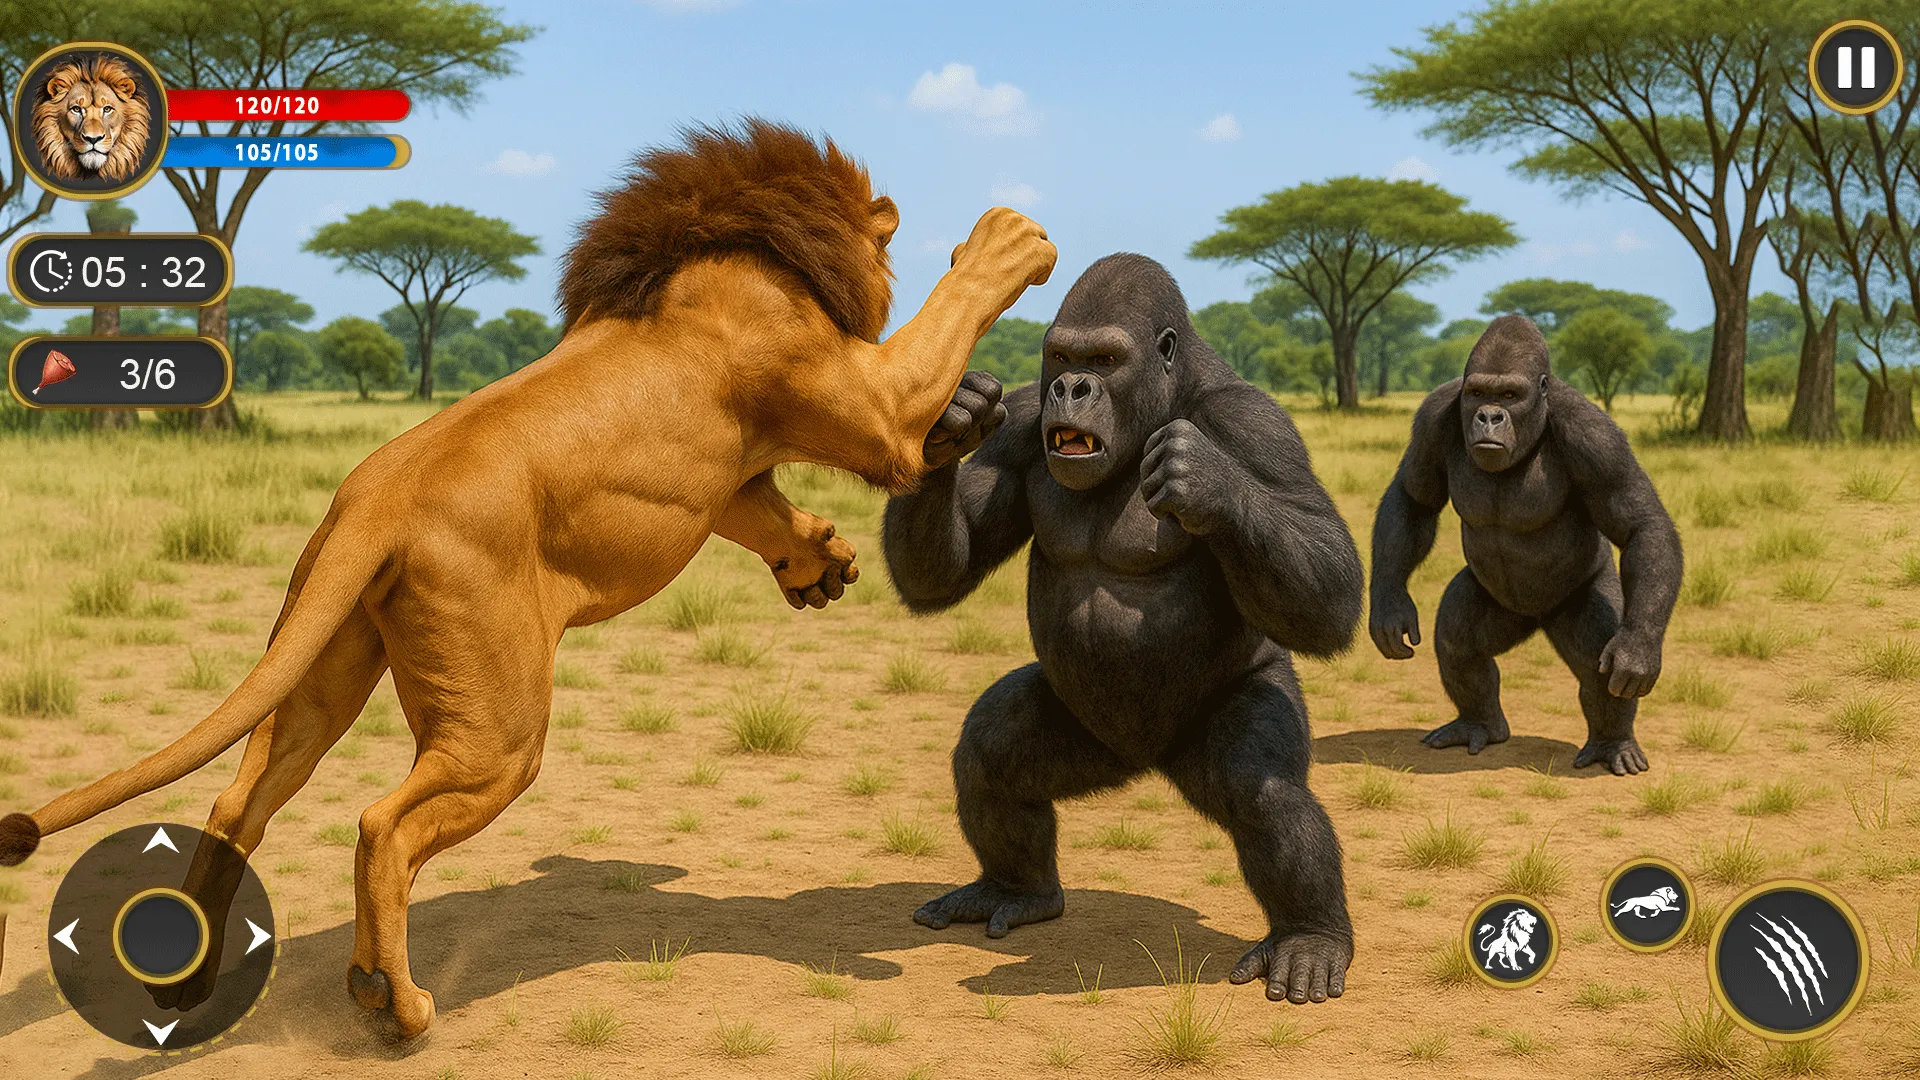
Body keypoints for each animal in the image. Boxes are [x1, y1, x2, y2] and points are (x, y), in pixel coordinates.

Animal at [0, 119, 1055, 1038]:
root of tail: (373, 502)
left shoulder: (730, 480)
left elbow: (766, 514)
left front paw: (822, 565)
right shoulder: (872, 407)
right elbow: (943, 325)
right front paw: (1012, 239)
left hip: (322, 660)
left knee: (240, 802)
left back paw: (190, 985)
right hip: (499, 725)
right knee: (382, 826)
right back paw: (393, 1005)